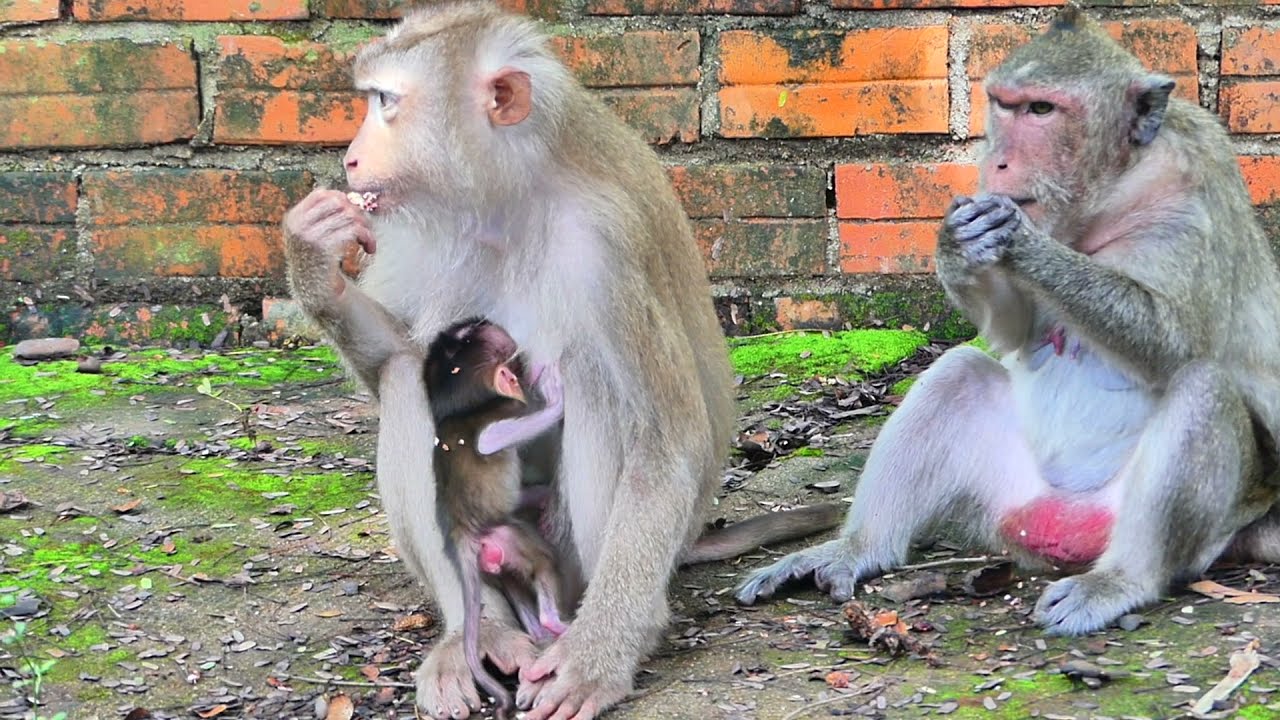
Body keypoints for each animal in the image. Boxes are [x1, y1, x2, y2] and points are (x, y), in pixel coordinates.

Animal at [421, 317, 568, 719]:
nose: (479, 319)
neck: (458, 409)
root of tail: (462, 534)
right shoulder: (496, 417)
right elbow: (493, 441)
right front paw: (555, 398)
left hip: (497, 556)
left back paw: (540, 633)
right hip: (510, 539)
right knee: (544, 561)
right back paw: (553, 623)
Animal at [735, 5, 1280, 637]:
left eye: (1042, 110)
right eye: (1004, 103)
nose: (994, 160)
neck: (1112, 189)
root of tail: (1062, 529)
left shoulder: (1195, 185)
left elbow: (1178, 342)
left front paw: (1022, 240)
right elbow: (1012, 332)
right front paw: (955, 240)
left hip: (1190, 525)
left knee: (1201, 387)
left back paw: (1121, 581)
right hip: (1005, 498)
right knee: (956, 375)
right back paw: (858, 548)